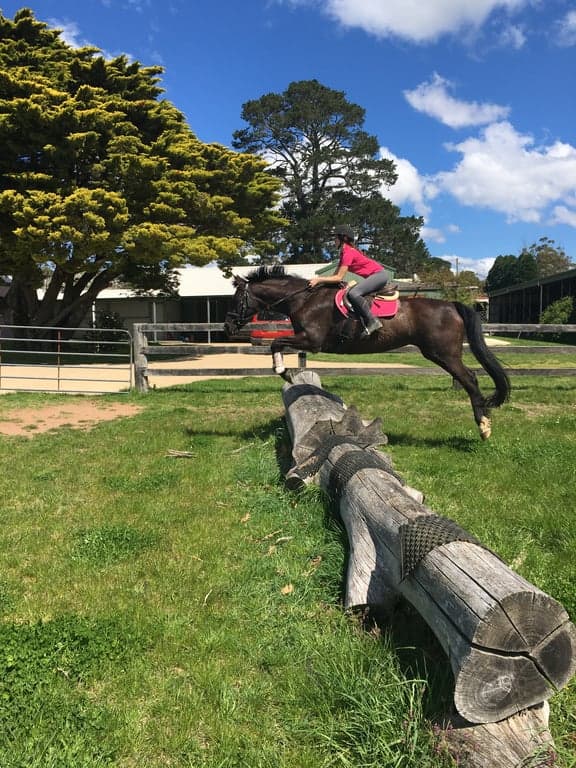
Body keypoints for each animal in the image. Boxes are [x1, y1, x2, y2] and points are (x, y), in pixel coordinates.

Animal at [224, 266, 510, 439]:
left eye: (237, 299)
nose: (227, 326)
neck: (302, 299)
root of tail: (451, 304)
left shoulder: (311, 341)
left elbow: (275, 343)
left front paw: (284, 371)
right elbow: (277, 345)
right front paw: (287, 372)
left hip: (443, 354)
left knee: (470, 379)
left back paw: (484, 427)